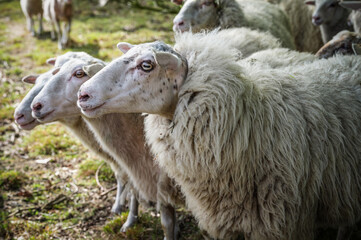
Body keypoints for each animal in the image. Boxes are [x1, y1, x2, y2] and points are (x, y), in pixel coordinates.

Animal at [29, 56, 183, 238]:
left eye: (79, 73)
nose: (35, 106)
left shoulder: (165, 183)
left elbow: (167, 222)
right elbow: (137, 196)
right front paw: (129, 221)